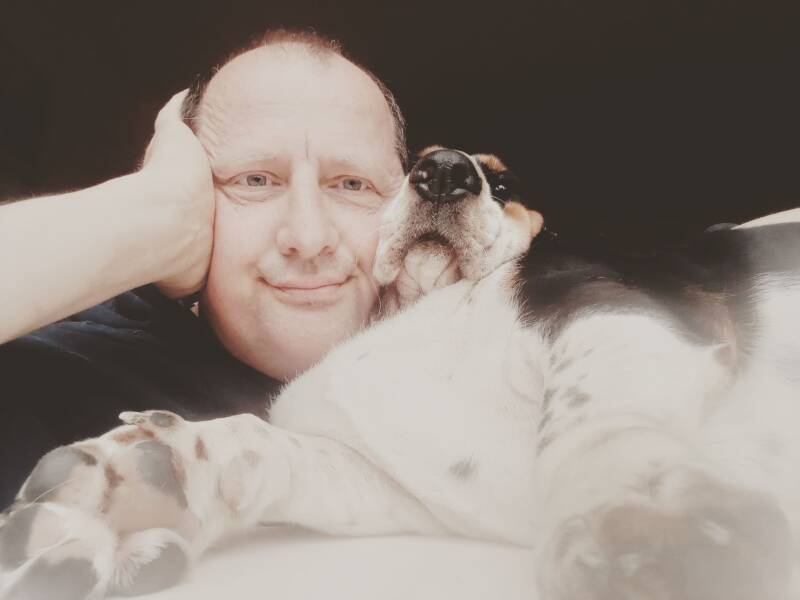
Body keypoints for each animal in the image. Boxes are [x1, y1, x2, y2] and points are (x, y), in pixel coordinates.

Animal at [1, 146, 799, 600]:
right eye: (408, 165)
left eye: (502, 184)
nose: (444, 170)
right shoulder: (379, 472)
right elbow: (267, 448)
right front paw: (147, 478)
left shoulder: (613, 303)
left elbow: (595, 417)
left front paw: (636, 518)